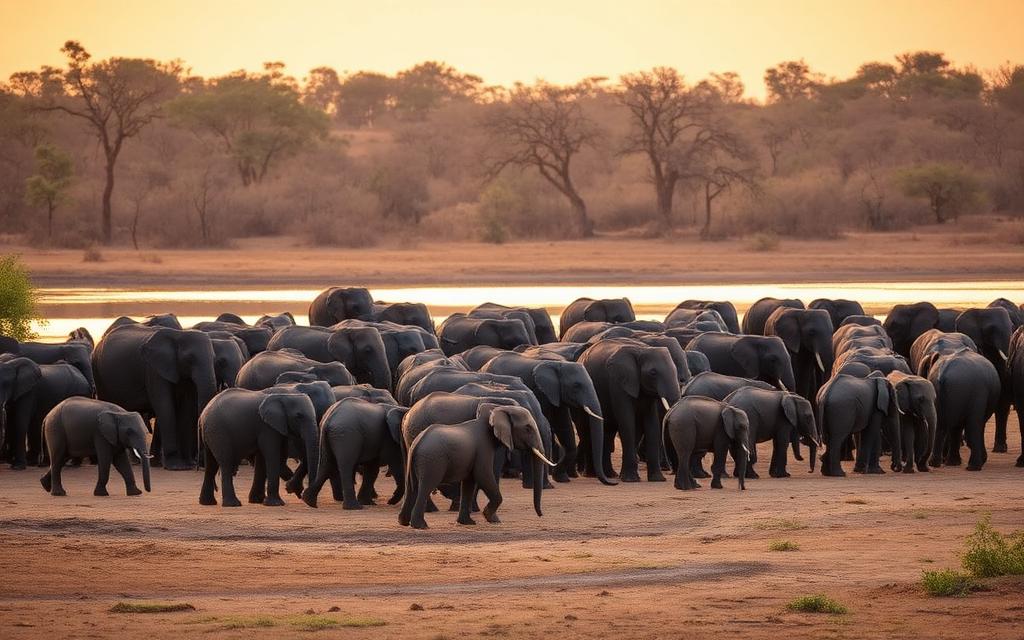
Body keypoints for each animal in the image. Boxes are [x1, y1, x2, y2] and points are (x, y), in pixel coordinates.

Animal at [92, 324, 217, 470]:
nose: (198, 465)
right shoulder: (153, 370)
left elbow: (186, 407)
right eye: (190, 359)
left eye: (214, 359)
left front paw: (187, 465)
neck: (179, 334)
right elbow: (165, 407)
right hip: (98, 373)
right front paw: (176, 466)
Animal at [399, 404, 554, 529]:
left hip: (416, 460)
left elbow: (469, 482)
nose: (540, 515)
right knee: (425, 487)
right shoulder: (483, 448)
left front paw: (467, 523)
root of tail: (417, 442)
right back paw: (420, 526)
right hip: (432, 461)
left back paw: (404, 522)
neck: (497, 409)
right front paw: (493, 519)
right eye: (528, 428)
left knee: (412, 487)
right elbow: (483, 475)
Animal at [481, 350, 613, 485]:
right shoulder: (542, 392)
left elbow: (564, 427)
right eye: (576, 386)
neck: (559, 365)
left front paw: (561, 479)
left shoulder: (556, 394)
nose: (613, 482)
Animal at [578, 338, 680, 482]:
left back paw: (611, 474)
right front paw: (630, 480)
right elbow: (627, 421)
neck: (642, 350)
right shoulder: (618, 382)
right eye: (653, 373)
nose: (670, 471)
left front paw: (657, 479)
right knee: (586, 431)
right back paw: (591, 475)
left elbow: (651, 422)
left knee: (608, 432)